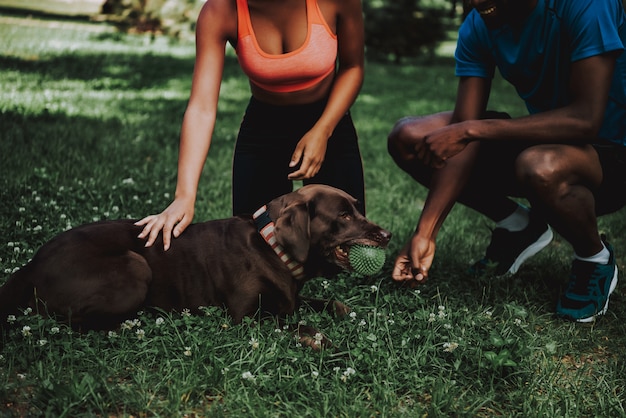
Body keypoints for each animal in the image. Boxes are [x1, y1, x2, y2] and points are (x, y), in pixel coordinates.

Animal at [0, 185, 390, 346]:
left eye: (357, 208)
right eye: (343, 215)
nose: (387, 235)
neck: (273, 248)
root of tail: (31, 264)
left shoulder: (290, 300)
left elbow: (331, 303)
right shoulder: (245, 318)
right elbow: (302, 326)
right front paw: (321, 340)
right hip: (135, 267)